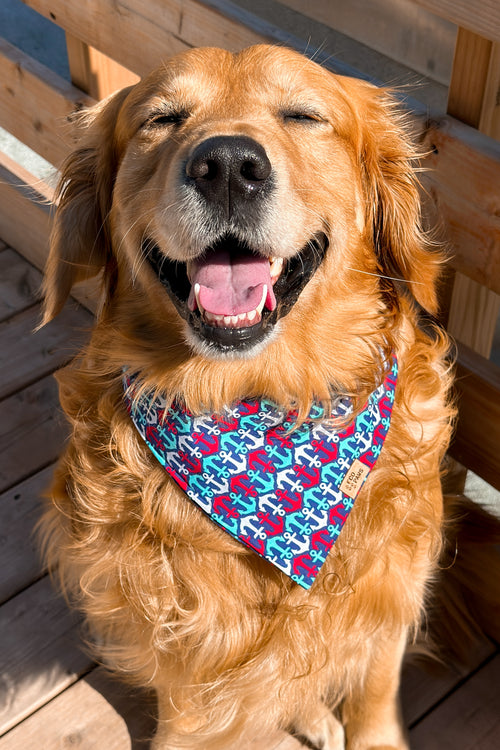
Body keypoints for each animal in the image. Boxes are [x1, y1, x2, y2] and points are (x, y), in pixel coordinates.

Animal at [40, 44, 454, 748]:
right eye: (161, 119)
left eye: (303, 115)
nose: (228, 165)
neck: (267, 404)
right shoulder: (183, 650)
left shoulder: (393, 592)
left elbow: (374, 692)